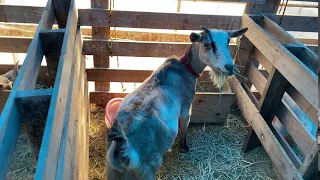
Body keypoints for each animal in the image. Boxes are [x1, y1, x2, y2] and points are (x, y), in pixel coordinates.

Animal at [105, 26, 248, 179]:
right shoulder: (186, 107)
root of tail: (124, 151)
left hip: (113, 173)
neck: (186, 69)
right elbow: (184, 126)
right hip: (148, 170)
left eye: (227, 42)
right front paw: (184, 148)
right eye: (206, 44)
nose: (229, 67)